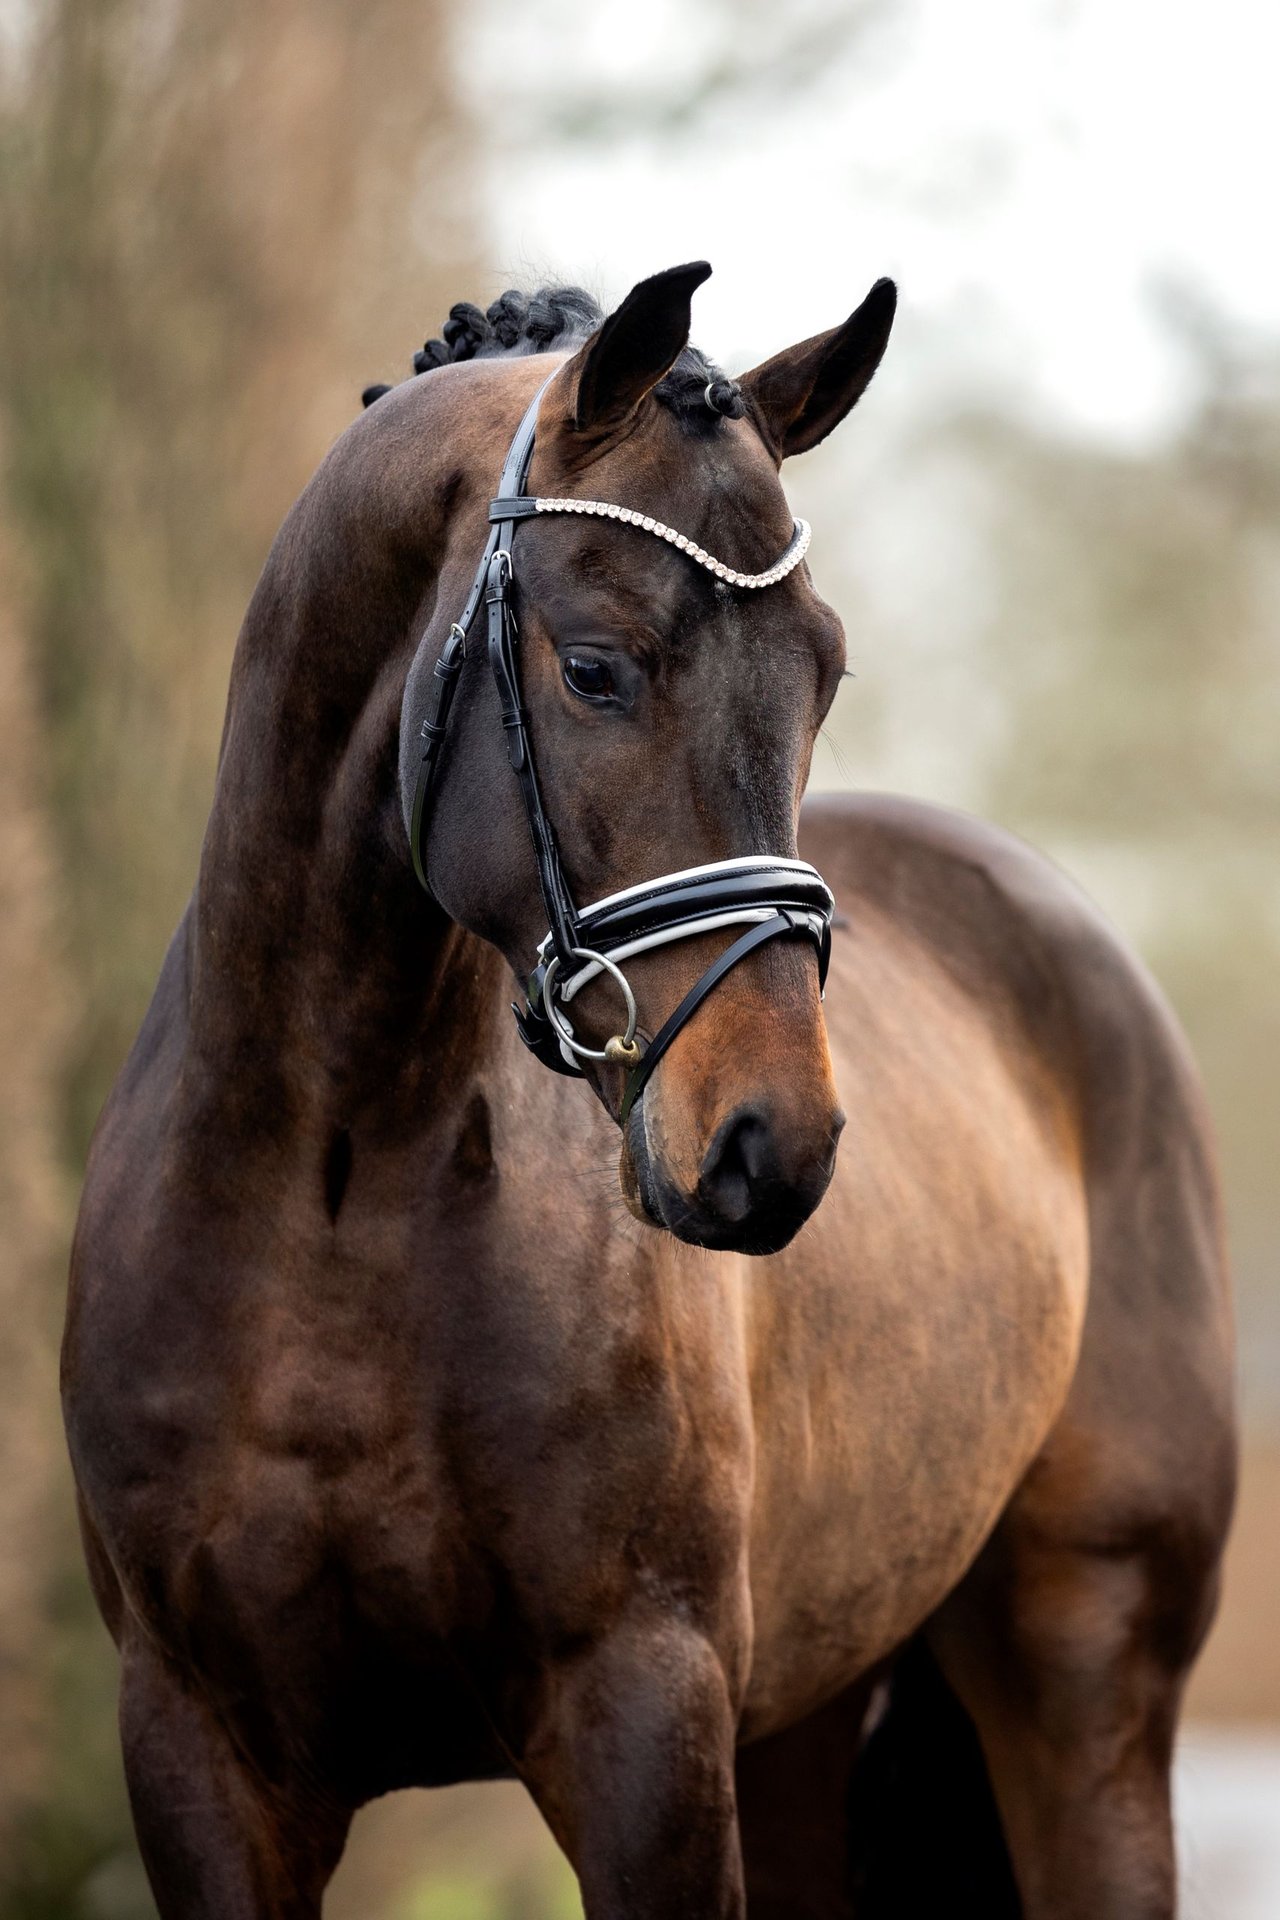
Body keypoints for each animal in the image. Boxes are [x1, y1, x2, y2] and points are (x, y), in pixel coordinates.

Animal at [65, 263, 1235, 1912]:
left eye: (823, 669)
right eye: (596, 666)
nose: (773, 1144)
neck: (336, 1187)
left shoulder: (640, 1721)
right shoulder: (201, 1752)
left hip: (1087, 1687)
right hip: (805, 1733)